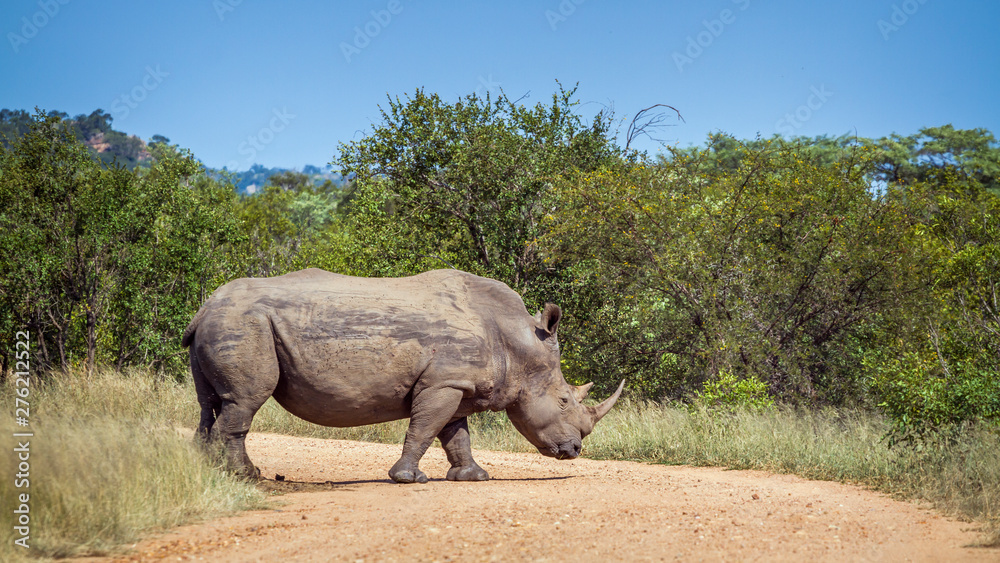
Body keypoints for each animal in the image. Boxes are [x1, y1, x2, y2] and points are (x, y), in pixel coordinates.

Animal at [182, 268, 623, 483]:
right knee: (245, 400)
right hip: (245, 323)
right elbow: (424, 429)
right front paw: (409, 479)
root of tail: (205, 308)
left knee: (211, 402)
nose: (575, 450)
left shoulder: (456, 384)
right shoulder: (444, 382)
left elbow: (456, 435)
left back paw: (207, 469)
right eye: (564, 400)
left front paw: (474, 477)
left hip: (224, 321)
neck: (518, 342)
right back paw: (245, 475)